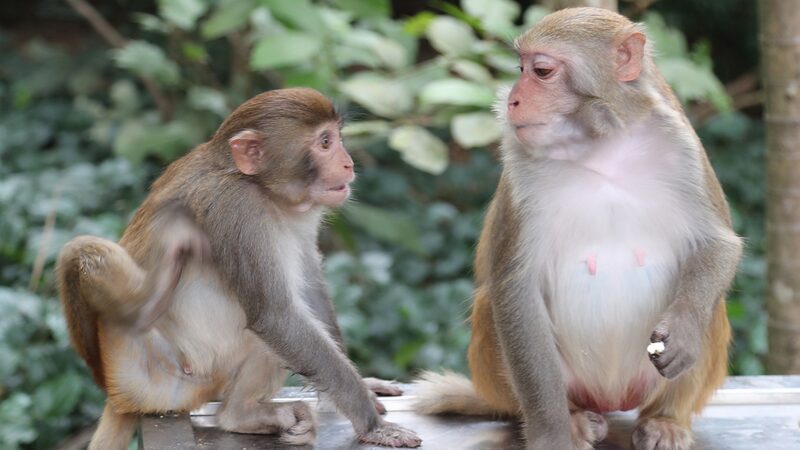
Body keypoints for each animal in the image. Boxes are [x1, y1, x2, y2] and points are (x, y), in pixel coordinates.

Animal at [57, 88, 422, 449]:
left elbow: (309, 286)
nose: (348, 163)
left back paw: (242, 415)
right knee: (83, 249)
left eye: (336, 138)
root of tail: (120, 395)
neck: (266, 191)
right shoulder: (238, 208)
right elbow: (276, 317)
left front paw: (364, 385)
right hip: (152, 373)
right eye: (325, 143)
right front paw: (372, 424)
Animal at [413, 8, 741, 450]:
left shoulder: (680, 144)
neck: (600, 147)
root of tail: (611, 399)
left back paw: (666, 419)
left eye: (541, 71)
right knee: (491, 306)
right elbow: (515, 288)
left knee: (712, 303)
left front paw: (686, 331)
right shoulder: (521, 169)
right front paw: (551, 434)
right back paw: (571, 420)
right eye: (520, 69)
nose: (513, 100)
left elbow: (717, 243)